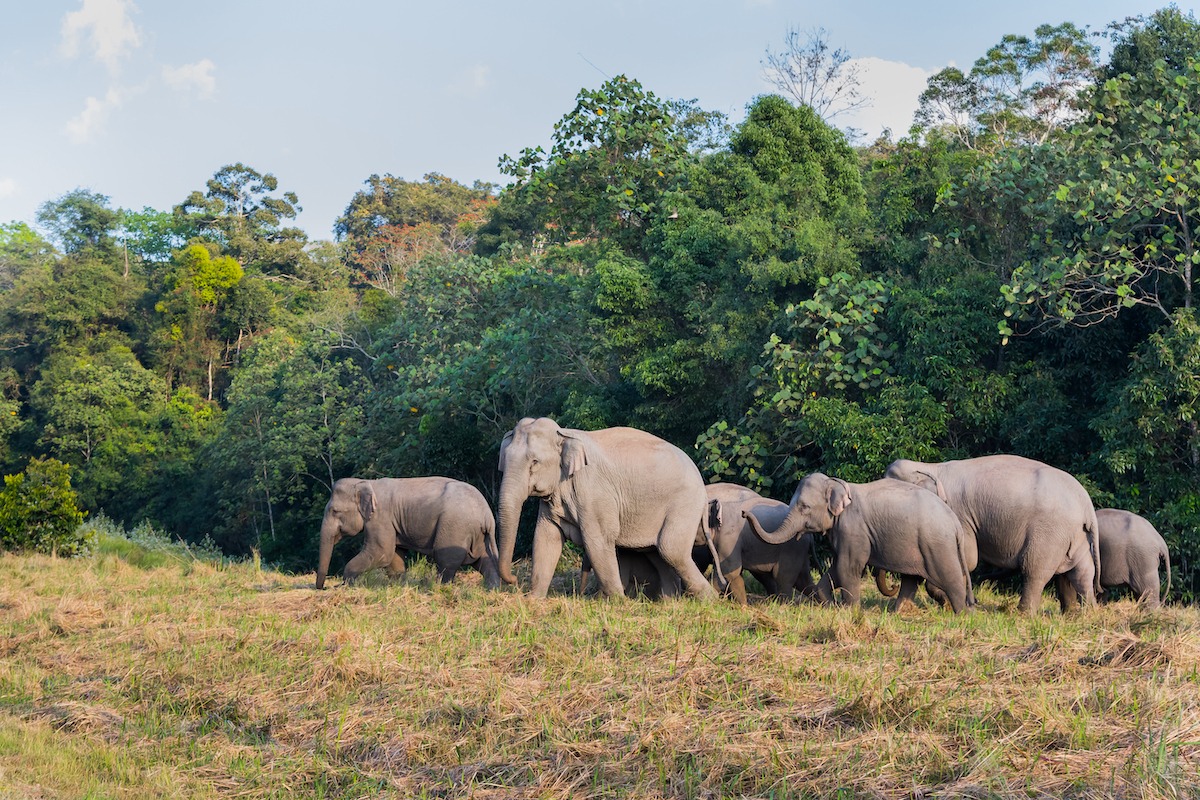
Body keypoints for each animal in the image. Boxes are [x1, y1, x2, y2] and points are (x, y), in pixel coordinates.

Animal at [316, 474, 499, 594]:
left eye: (335, 511)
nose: (324, 587)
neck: (366, 483)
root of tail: (487, 514)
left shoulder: (381, 517)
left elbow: (381, 552)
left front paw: (346, 584)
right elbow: (394, 555)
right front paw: (398, 586)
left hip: (455, 527)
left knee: (446, 561)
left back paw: (437, 588)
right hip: (477, 535)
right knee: (484, 561)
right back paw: (493, 590)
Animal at [494, 419, 715, 599]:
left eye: (534, 462)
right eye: (504, 462)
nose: (514, 580)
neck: (564, 434)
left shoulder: (594, 492)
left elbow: (598, 540)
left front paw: (617, 601)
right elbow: (546, 538)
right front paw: (533, 600)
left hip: (684, 503)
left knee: (671, 549)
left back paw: (709, 599)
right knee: (658, 552)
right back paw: (670, 601)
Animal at [748, 472, 974, 618]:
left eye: (804, 507)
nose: (744, 513)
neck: (839, 485)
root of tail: (954, 523)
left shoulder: (853, 528)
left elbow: (848, 567)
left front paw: (850, 611)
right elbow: (836, 568)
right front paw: (831, 605)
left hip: (937, 545)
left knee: (949, 576)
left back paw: (962, 615)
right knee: (912, 579)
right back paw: (897, 613)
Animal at [883, 453, 1099, 618]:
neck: (931, 468)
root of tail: (1086, 505)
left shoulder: (959, 515)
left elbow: (968, 558)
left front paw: (949, 603)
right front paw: (899, 612)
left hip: (1050, 531)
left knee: (1035, 570)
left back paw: (1022, 615)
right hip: (1075, 535)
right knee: (1081, 572)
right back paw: (1082, 614)